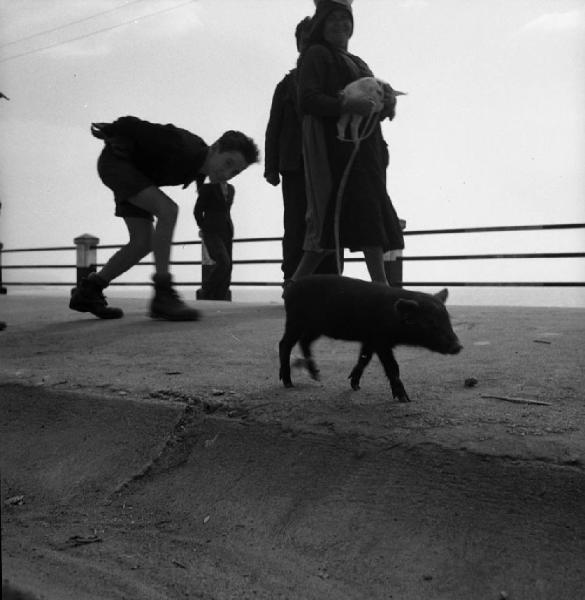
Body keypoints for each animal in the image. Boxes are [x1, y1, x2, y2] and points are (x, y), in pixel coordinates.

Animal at [278, 276, 460, 404]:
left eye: (448, 319)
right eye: (431, 323)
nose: (458, 346)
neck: (392, 317)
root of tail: (291, 286)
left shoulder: (369, 340)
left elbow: (364, 359)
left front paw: (355, 386)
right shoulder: (380, 340)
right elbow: (392, 366)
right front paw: (405, 399)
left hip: (316, 327)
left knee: (304, 342)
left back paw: (317, 376)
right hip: (295, 321)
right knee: (284, 344)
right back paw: (288, 383)